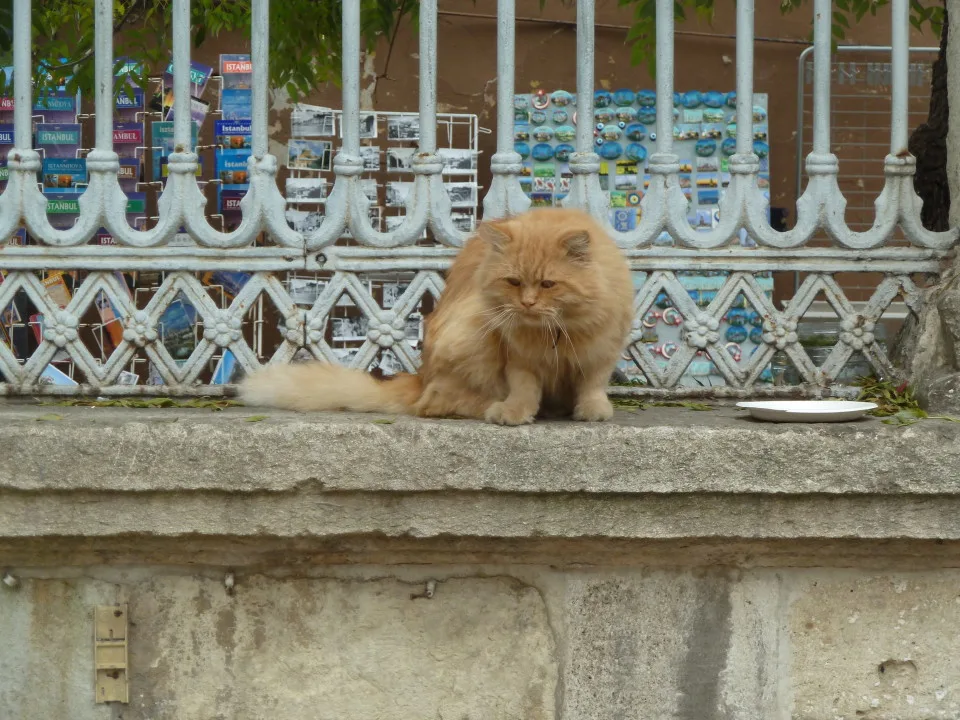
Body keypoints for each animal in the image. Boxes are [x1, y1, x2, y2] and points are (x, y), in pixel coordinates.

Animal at [240, 205, 632, 424]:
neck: (557, 331)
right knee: (437, 403)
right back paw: (496, 407)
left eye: (548, 284)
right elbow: (524, 388)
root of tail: (420, 377)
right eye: (514, 282)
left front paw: (592, 410)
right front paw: (515, 412)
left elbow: (592, 385)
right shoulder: (518, 358)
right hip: (470, 328)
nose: (528, 304)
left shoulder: (601, 353)